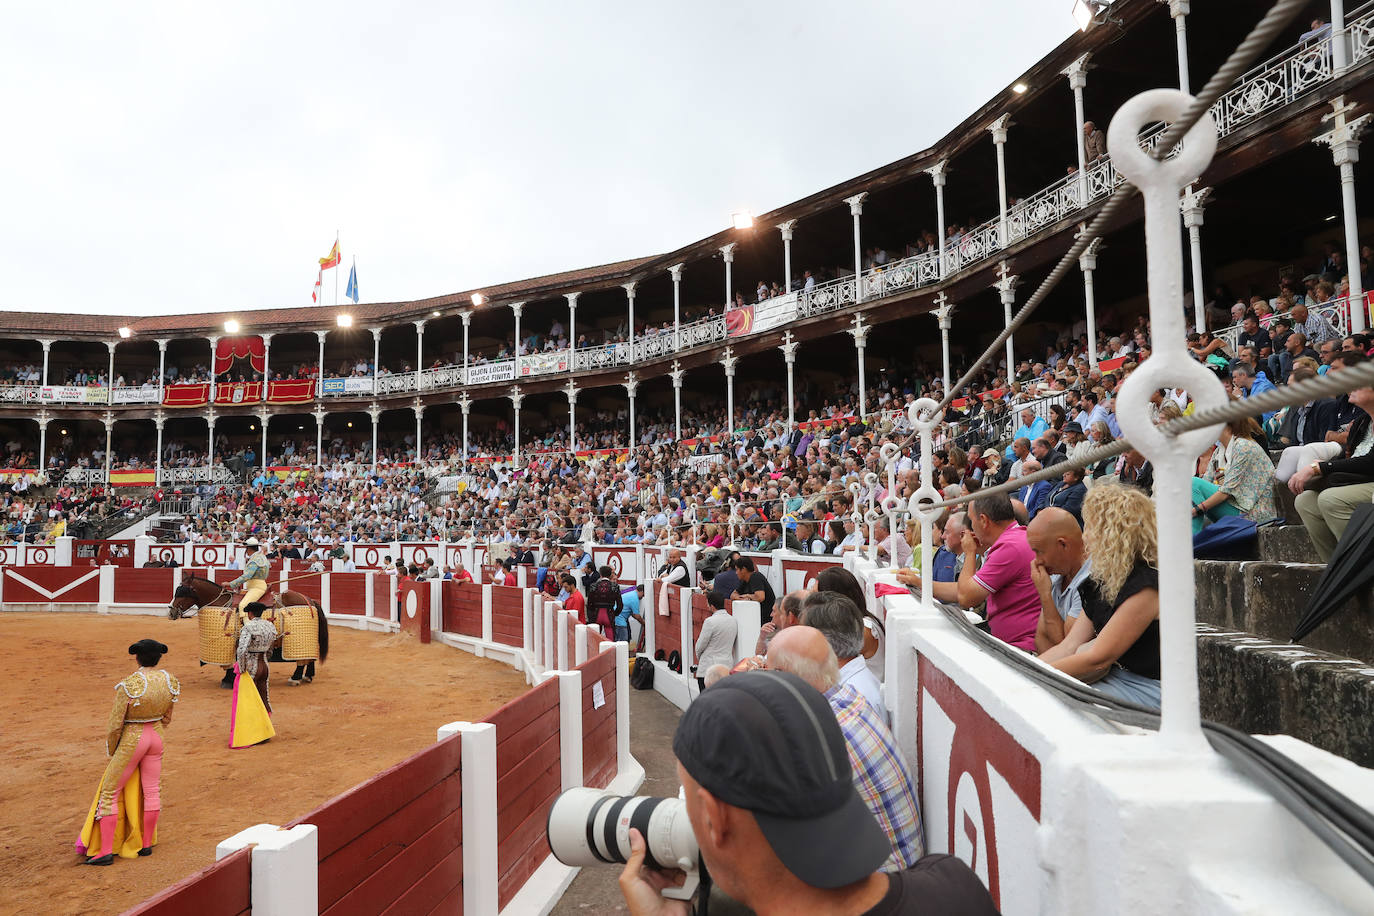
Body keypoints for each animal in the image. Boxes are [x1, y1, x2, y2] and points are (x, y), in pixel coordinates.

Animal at [169, 574, 329, 686]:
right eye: (177, 590)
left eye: (183, 592)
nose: (171, 612)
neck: (220, 601)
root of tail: (310, 599)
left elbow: (230, 662)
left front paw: (228, 679)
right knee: (310, 656)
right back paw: (307, 676)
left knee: (302, 659)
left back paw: (295, 678)